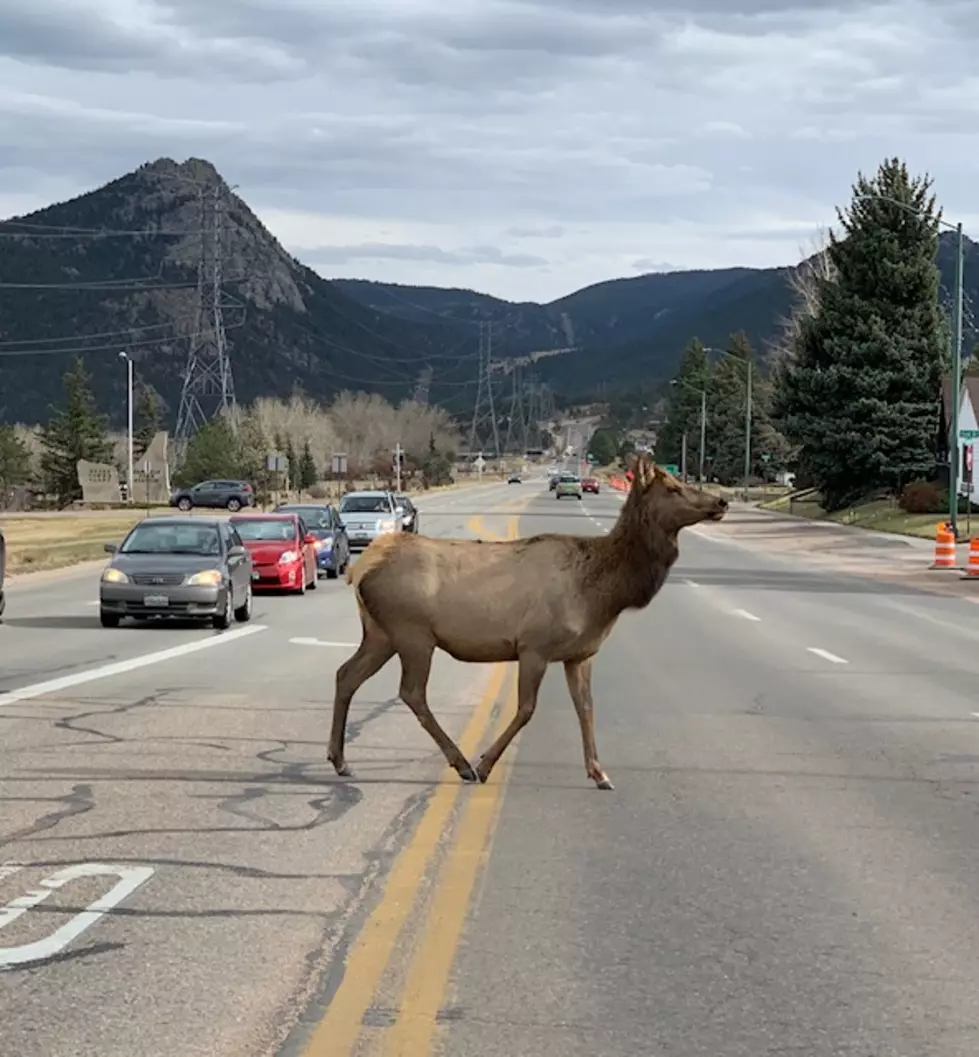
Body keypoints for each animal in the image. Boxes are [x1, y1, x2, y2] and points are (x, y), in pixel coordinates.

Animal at [327, 453, 728, 790]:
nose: (722, 502)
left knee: (347, 674)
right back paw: (462, 764)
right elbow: (527, 709)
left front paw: (599, 772)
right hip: (413, 634)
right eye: (673, 487)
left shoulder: (580, 654)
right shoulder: (534, 645)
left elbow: (586, 707)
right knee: (411, 693)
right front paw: (485, 764)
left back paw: (341, 761)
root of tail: (360, 569)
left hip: (381, 634)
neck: (606, 593)